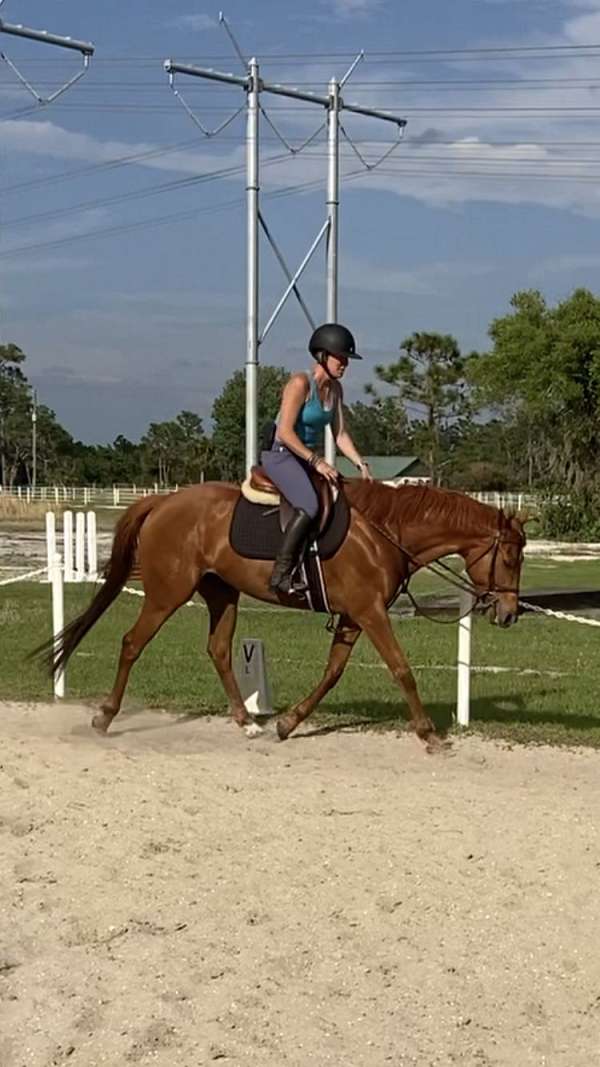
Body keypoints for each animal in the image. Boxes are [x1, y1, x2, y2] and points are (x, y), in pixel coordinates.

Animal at [39, 480, 523, 746]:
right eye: (511, 558)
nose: (509, 613)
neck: (387, 533)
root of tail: (163, 502)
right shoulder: (369, 613)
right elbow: (402, 669)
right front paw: (428, 734)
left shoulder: (354, 616)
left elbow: (332, 672)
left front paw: (288, 723)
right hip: (167, 594)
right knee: (132, 643)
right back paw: (104, 717)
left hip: (222, 594)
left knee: (218, 650)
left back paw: (246, 722)